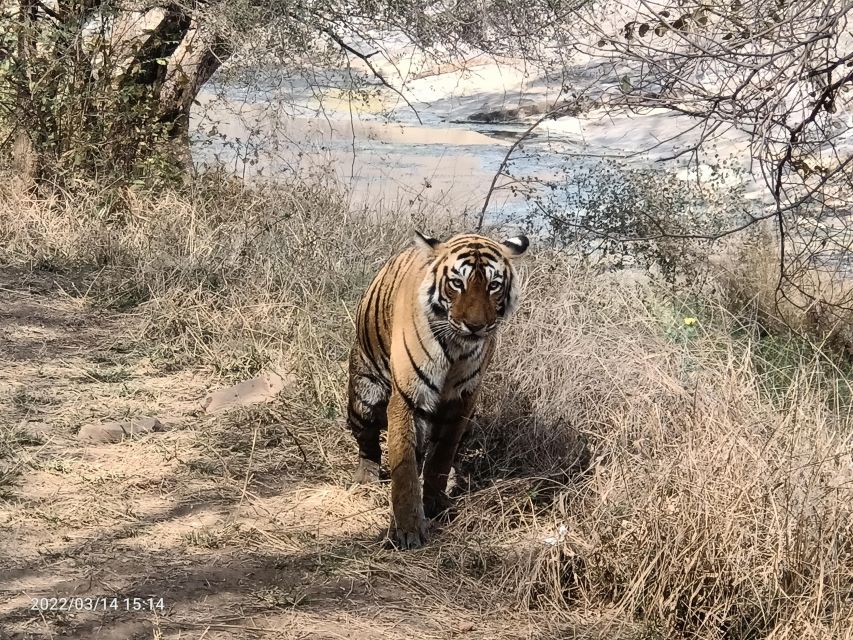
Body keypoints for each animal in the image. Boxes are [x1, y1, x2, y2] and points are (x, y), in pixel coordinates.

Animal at [344, 232, 524, 548]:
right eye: (457, 283)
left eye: (493, 285)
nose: (475, 326)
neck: (456, 348)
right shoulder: (407, 397)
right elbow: (403, 466)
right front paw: (407, 530)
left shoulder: (461, 403)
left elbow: (441, 456)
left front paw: (436, 504)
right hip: (364, 397)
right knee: (367, 442)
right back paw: (366, 478)